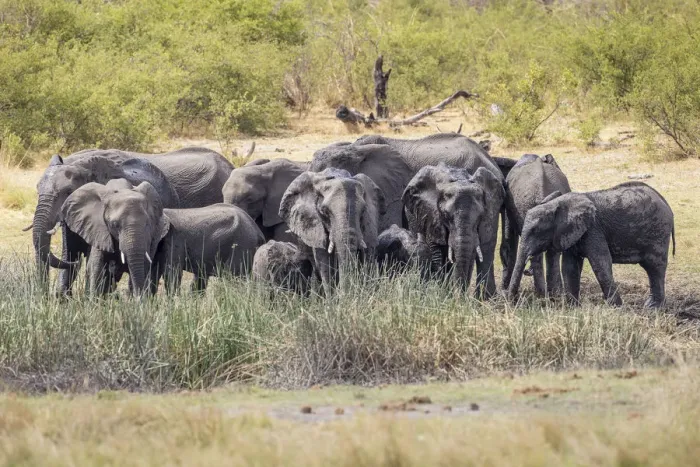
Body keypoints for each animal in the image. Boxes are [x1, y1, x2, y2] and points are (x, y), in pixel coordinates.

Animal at [402, 164, 505, 298]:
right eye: (445, 216)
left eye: (480, 217)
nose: (460, 298)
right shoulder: (431, 214)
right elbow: (437, 251)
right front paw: (440, 294)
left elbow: (470, 253)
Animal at [507, 182, 675, 308]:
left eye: (535, 231)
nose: (511, 303)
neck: (558, 203)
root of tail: (666, 202)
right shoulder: (572, 232)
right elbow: (570, 266)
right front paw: (573, 308)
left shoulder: (593, 228)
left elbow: (600, 263)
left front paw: (617, 308)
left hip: (658, 231)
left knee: (654, 266)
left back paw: (653, 308)